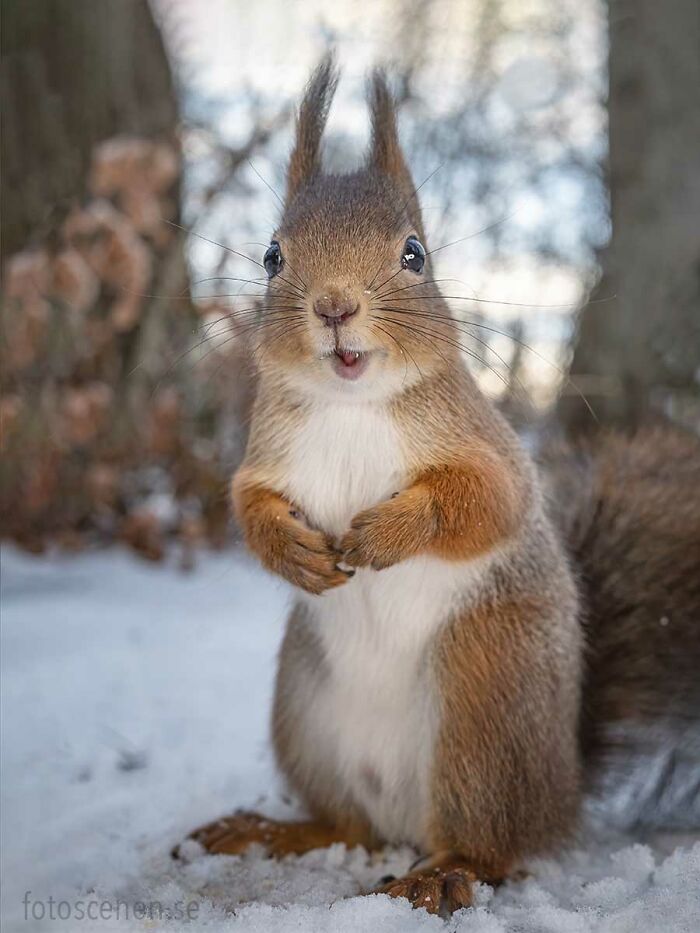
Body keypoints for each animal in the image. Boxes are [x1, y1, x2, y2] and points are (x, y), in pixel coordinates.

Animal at [177, 57, 700, 914]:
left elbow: (487, 503)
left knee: (493, 843)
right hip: (304, 713)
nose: (334, 305)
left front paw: (386, 532)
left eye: (415, 254)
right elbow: (247, 507)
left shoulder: (487, 447)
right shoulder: (265, 456)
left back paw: (443, 873)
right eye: (272, 256)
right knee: (348, 824)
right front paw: (293, 551)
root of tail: (562, 787)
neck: (351, 404)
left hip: (480, 704)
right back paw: (271, 829)